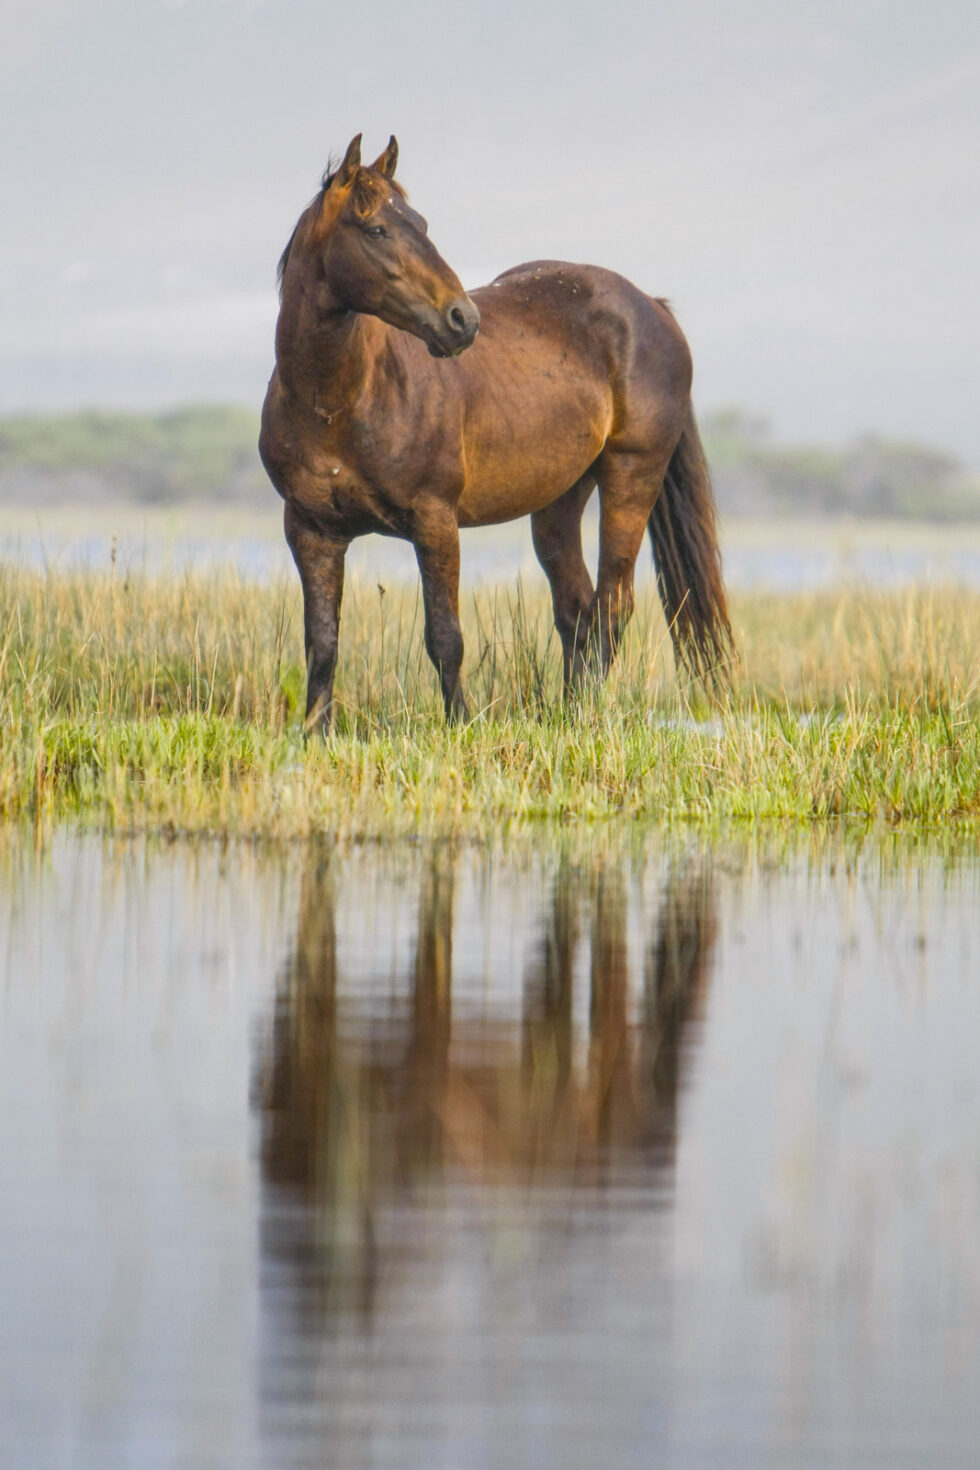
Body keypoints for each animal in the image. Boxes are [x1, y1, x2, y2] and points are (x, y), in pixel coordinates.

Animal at [259, 133, 733, 731]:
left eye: (421, 222)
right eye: (377, 230)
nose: (462, 320)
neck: (336, 402)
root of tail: (653, 307)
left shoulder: (435, 521)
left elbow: (445, 638)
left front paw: (459, 724)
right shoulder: (311, 531)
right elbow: (322, 644)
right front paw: (313, 736)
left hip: (632, 475)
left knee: (612, 602)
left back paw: (587, 712)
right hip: (559, 498)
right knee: (576, 607)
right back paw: (567, 713)